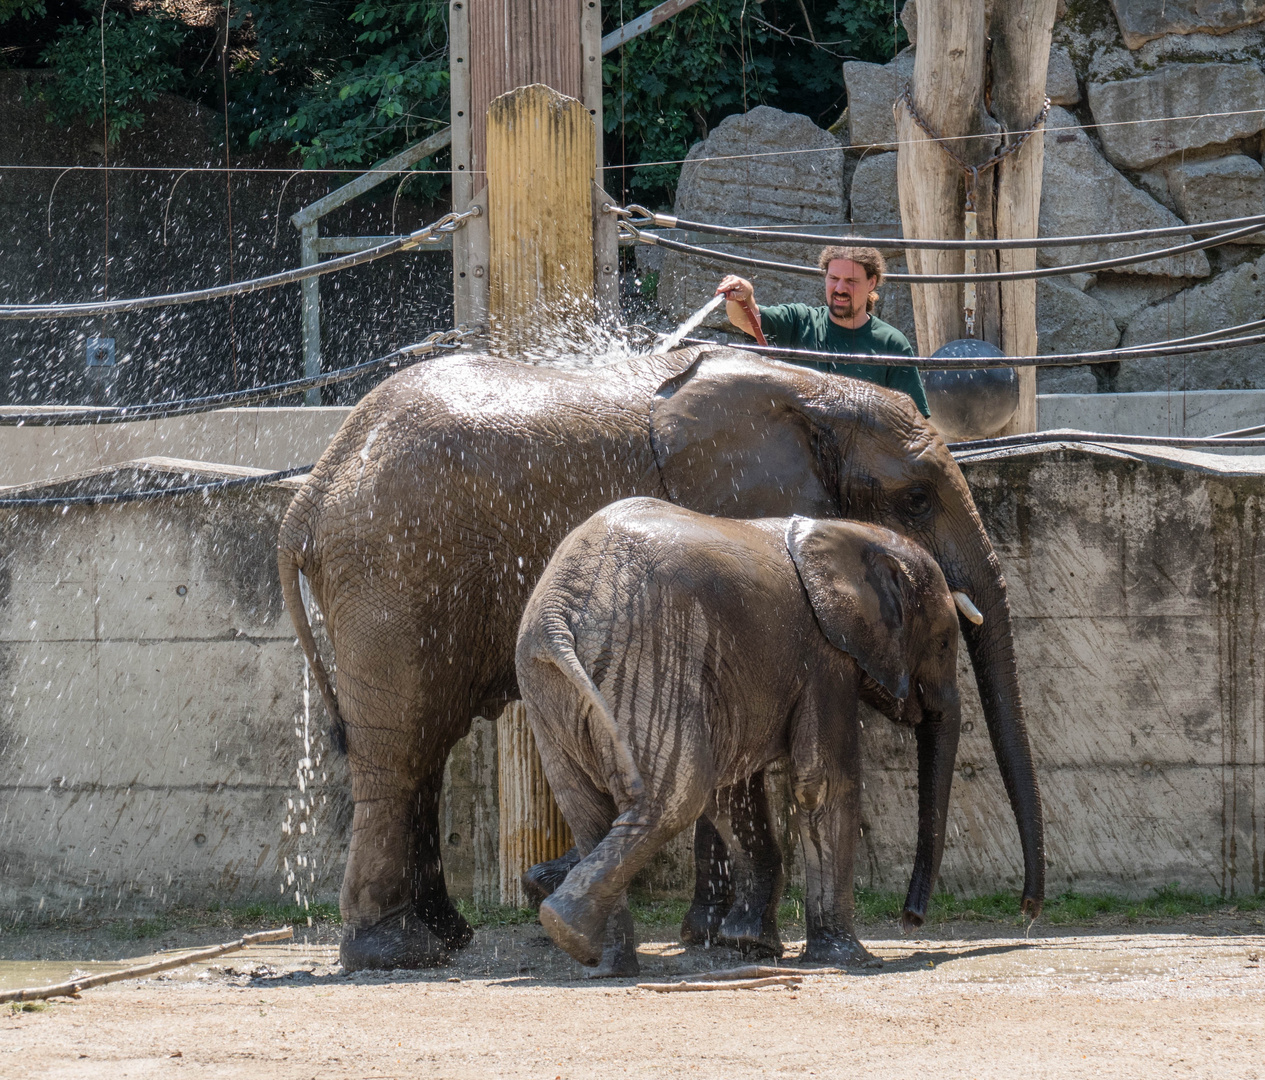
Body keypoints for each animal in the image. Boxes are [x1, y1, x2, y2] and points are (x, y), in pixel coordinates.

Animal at [513, 495, 956, 976]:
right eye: (946, 644)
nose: (911, 920)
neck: (854, 532)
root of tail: (556, 614)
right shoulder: (823, 657)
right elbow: (822, 782)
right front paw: (847, 958)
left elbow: (732, 791)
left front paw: (751, 946)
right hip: (649, 654)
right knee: (672, 798)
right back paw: (570, 932)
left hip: (552, 688)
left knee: (591, 812)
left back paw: (601, 961)